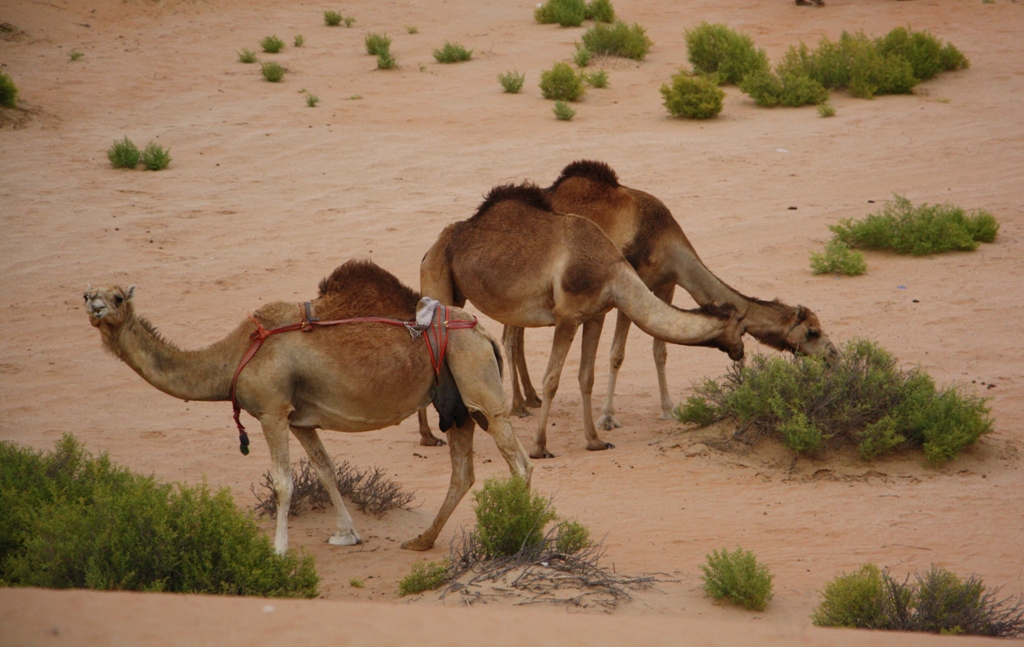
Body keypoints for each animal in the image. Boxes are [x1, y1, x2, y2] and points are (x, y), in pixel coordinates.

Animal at [84, 260, 532, 552]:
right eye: (88, 293)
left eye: (118, 296)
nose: (95, 306)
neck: (234, 356)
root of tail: (483, 333)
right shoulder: (300, 420)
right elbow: (326, 470)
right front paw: (346, 534)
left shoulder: (271, 411)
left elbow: (284, 482)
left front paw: (278, 550)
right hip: (455, 402)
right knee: (463, 473)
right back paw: (422, 541)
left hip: (476, 379)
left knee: (519, 461)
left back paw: (516, 533)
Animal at [415, 182, 745, 460]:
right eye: (742, 329)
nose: (740, 354)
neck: (613, 274)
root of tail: (431, 248)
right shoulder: (567, 316)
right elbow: (551, 379)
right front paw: (540, 446)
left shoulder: (594, 316)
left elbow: (587, 376)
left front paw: (595, 440)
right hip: (437, 280)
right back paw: (430, 437)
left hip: (455, 293)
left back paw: (431, 435)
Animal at [507, 157, 835, 429]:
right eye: (813, 332)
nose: (833, 355)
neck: (668, 247)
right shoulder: (633, 287)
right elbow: (617, 354)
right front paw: (607, 417)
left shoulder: (666, 285)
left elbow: (660, 350)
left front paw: (669, 410)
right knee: (511, 335)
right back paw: (517, 406)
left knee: (516, 332)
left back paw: (530, 399)